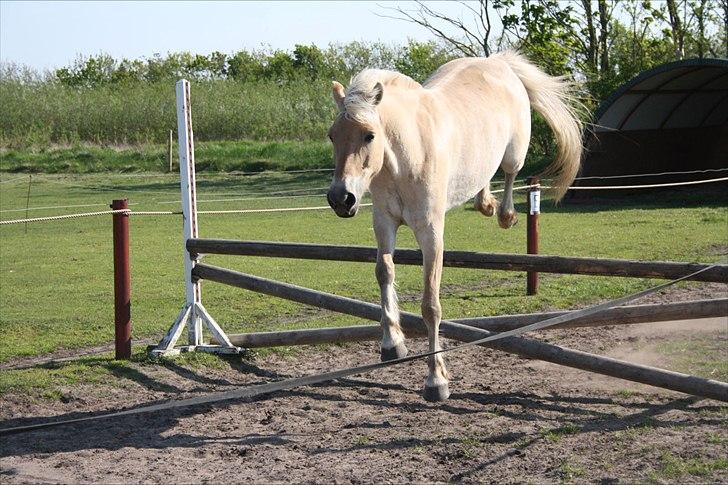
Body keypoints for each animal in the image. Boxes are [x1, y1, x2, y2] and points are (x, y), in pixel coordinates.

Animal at [328, 52, 584, 400]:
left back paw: (504, 214)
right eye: (332, 135)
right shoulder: (384, 221)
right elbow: (384, 273)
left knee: (509, 174)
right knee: (484, 180)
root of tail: (497, 62)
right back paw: (485, 203)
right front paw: (392, 344)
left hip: (515, 153)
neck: (406, 157)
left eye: (369, 135)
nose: (340, 199)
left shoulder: (431, 231)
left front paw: (436, 381)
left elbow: (430, 305)